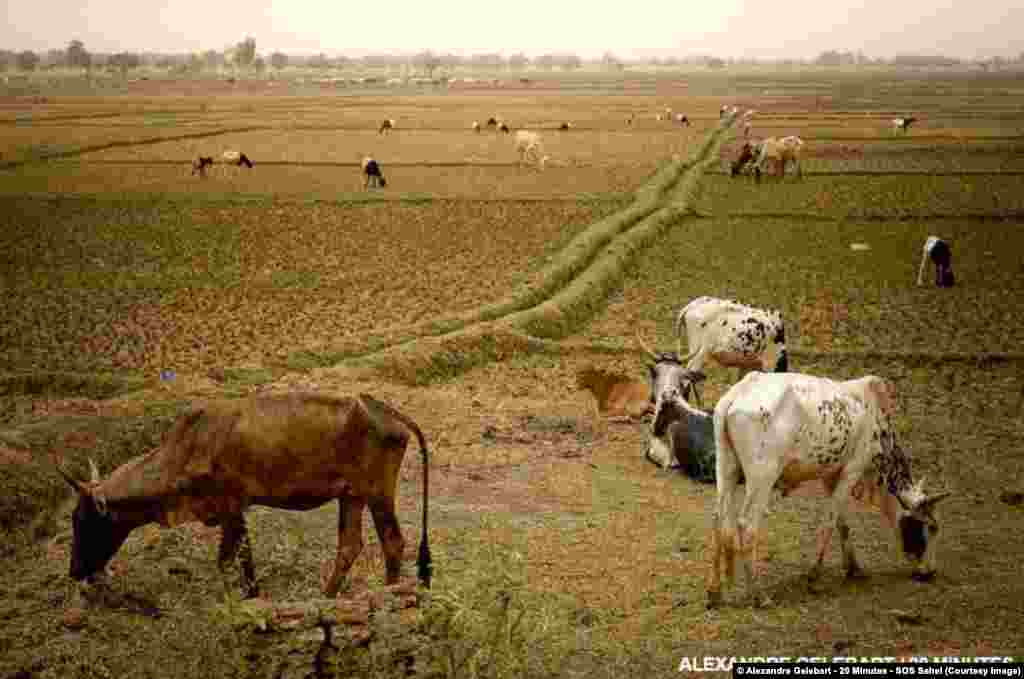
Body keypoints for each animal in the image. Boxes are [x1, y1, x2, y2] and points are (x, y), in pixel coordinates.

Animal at [56, 393, 432, 602]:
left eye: (82, 520)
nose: (74, 571)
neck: (184, 450)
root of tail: (387, 411)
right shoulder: (233, 513)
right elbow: (243, 557)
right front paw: (253, 596)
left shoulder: (231, 507)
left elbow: (228, 560)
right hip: (351, 495)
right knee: (350, 546)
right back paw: (326, 598)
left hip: (378, 492)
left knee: (393, 542)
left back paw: (388, 595)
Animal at [704, 372, 950, 610]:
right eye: (931, 527)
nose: (929, 571)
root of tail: (737, 394)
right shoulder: (853, 470)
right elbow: (829, 523)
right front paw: (814, 575)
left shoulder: (831, 476)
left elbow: (842, 523)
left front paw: (854, 568)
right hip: (762, 477)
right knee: (747, 525)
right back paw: (759, 595)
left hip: (726, 468)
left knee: (718, 518)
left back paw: (714, 592)